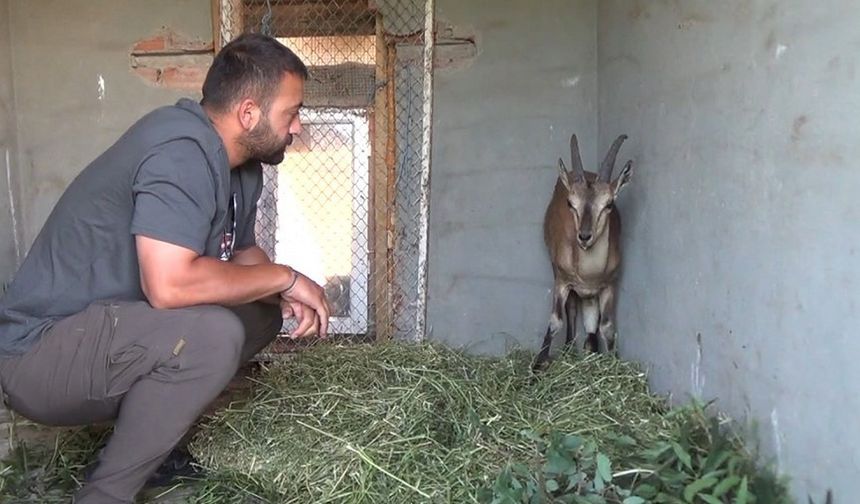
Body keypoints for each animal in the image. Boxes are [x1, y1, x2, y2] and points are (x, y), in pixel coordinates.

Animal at [536, 134, 636, 370]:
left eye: (609, 204)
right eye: (570, 203)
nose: (584, 236)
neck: (589, 274)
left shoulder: (608, 285)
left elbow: (606, 326)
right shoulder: (562, 280)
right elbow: (555, 321)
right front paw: (537, 366)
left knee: (590, 319)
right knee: (572, 309)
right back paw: (569, 348)